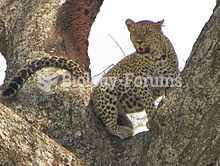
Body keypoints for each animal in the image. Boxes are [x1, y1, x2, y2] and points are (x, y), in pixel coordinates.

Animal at [1, 18, 179, 139]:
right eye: (134, 32)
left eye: (148, 32)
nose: (139, 41)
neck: (155, 57)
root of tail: (94, 88)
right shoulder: (141, 82)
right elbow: (148, 103)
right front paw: (153, 120)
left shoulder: (171, 79)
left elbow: (170, 94)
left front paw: (158, 113)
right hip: (108, 92)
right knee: (108, 122)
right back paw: (123, 129)